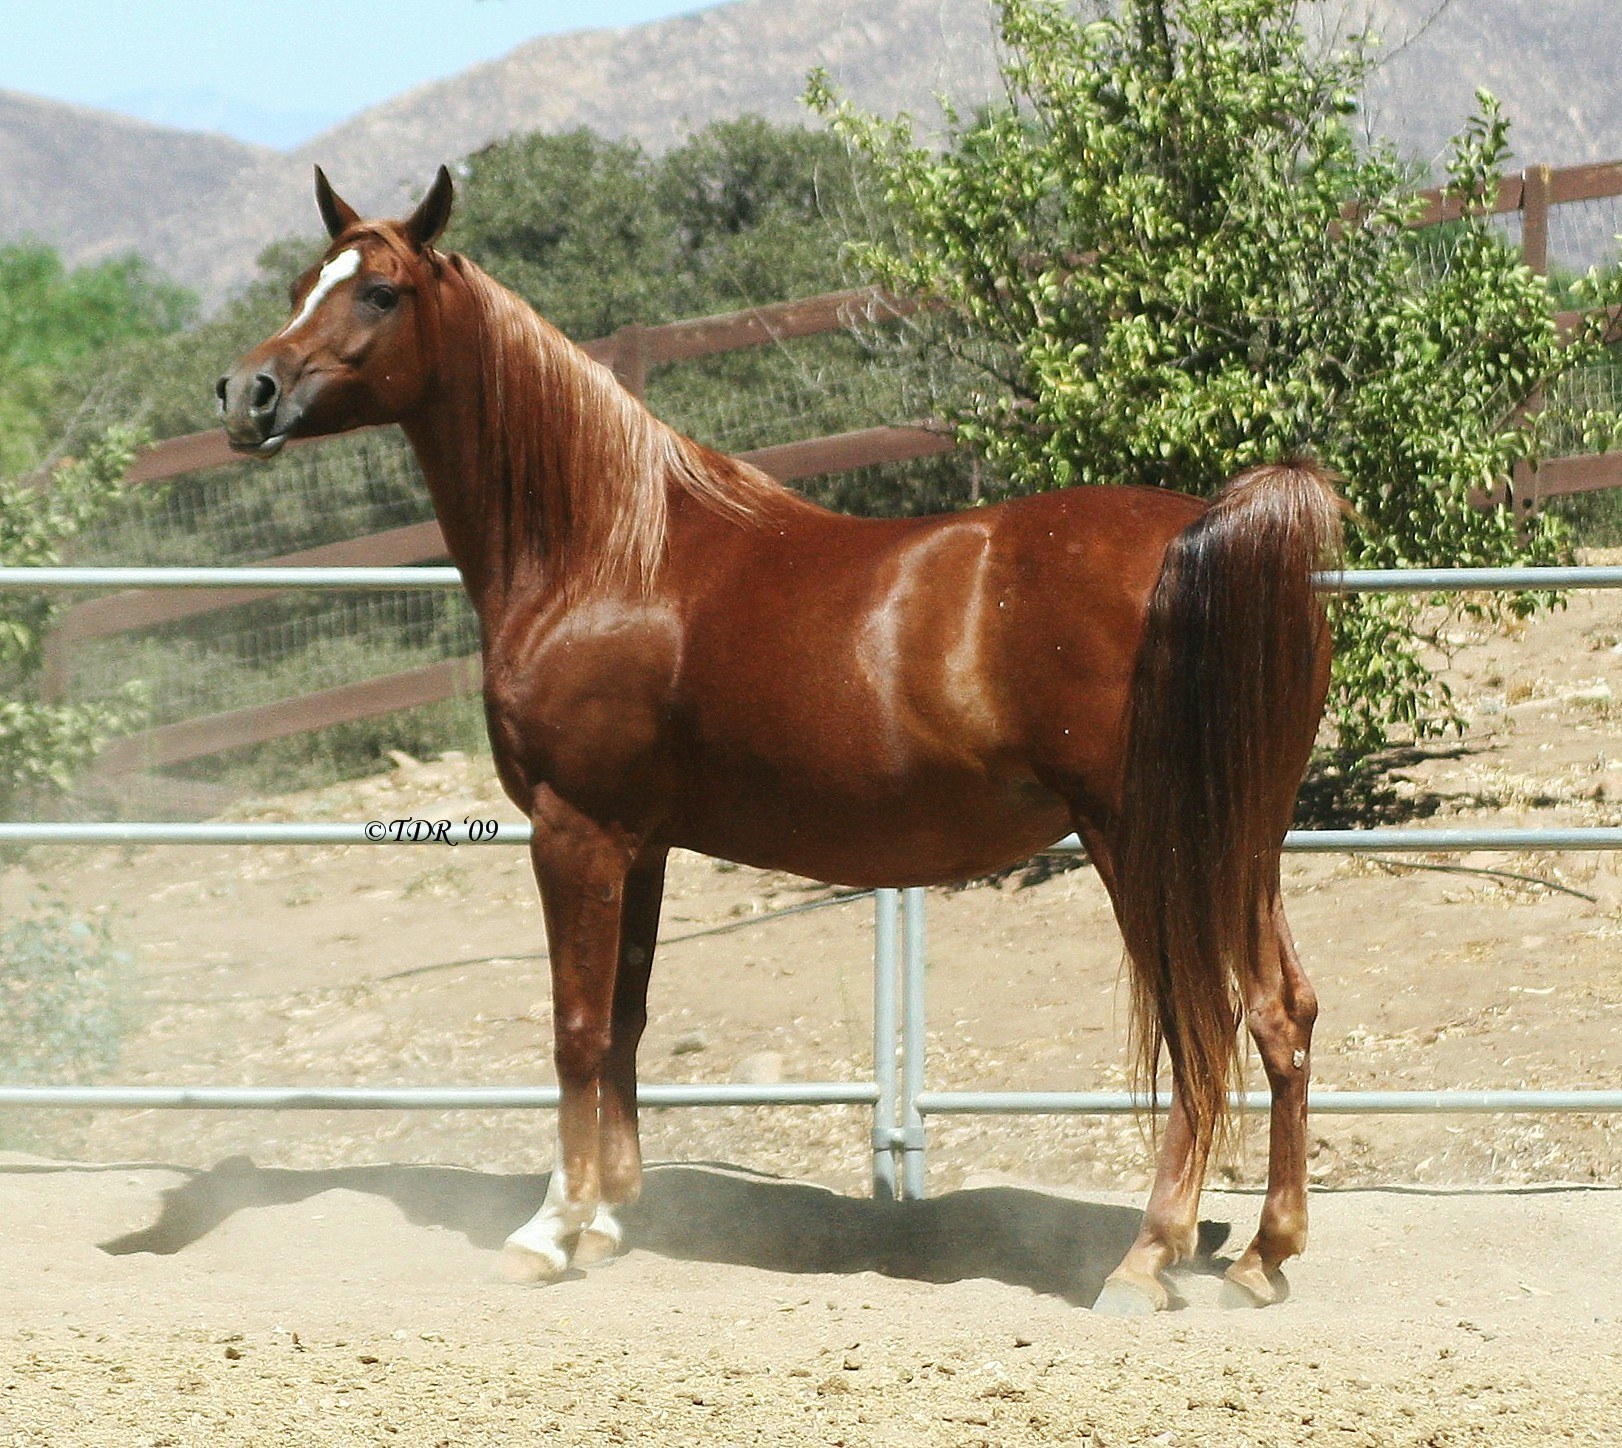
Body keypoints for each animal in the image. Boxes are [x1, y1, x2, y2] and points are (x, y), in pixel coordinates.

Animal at [218, 166, 1344, 1313]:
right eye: (306, 283)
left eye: (381, 293)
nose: (245, 393)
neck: (607, 552)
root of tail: (1202, 531)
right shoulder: (642, 843)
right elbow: (625, 1020)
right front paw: (610, 1217)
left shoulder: (572, 831)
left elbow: (575, 1030)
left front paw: (550, 1228)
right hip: (1240, 843)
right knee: (1279, 1010)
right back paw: (1263, 1255)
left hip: (1144, 843)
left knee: (1199, 1021)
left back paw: (1146, 1256)